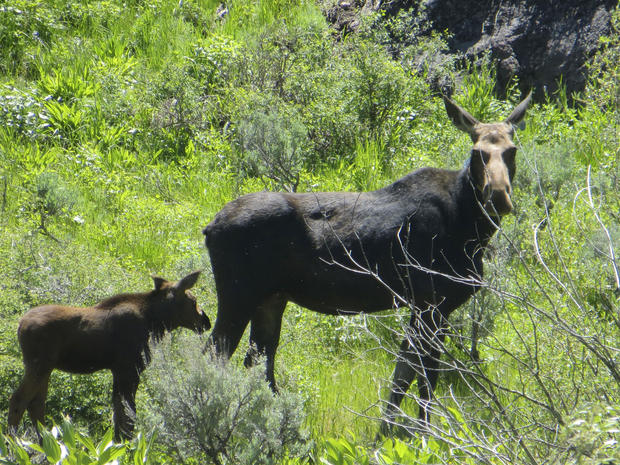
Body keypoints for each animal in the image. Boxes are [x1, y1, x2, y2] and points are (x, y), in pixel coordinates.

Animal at [7, 268, 211, 438]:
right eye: (193, 301)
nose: (206, 321)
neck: (156, 323)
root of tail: (20, 324)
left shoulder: (120, 370)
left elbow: (120, 413)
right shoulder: (128, 368)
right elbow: (127, 413)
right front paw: (125, 445)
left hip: (45, 367)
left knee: (36, 403)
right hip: (39, 364)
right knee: (19, 399)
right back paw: (13, 445)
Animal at [205, 92, 532, 430]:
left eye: (512, 150)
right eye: (478, 152)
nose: (498, 196)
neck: (472, 230)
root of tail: (210, 227)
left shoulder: (421, 306)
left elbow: (402, 375)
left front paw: (388, 431)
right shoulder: (433, 304)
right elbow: (426, 381)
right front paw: (422, 434)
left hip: (270, 298)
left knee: (258, 362)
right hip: (238, 294)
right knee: (214, 355)